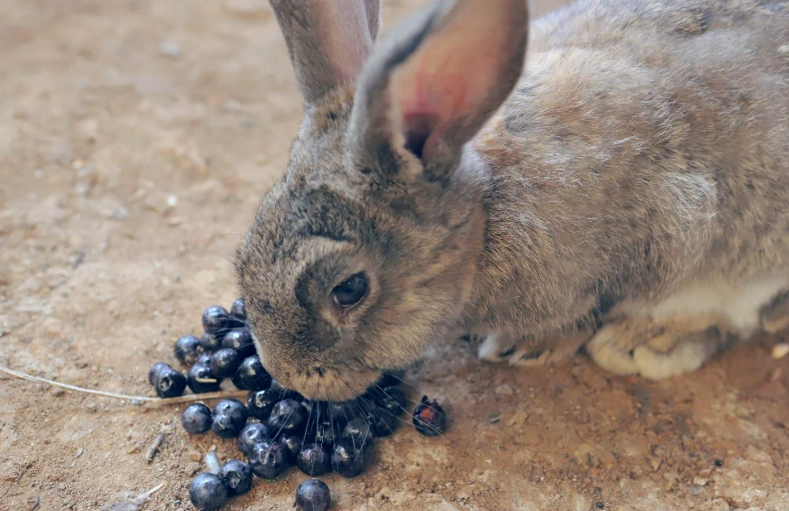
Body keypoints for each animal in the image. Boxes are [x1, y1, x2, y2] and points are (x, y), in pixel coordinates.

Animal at [235, 0, 789, 401]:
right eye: (243, 254)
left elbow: (697, 302)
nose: (287, 375)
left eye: (348, 290)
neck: (486, 215)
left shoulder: (687, 227)